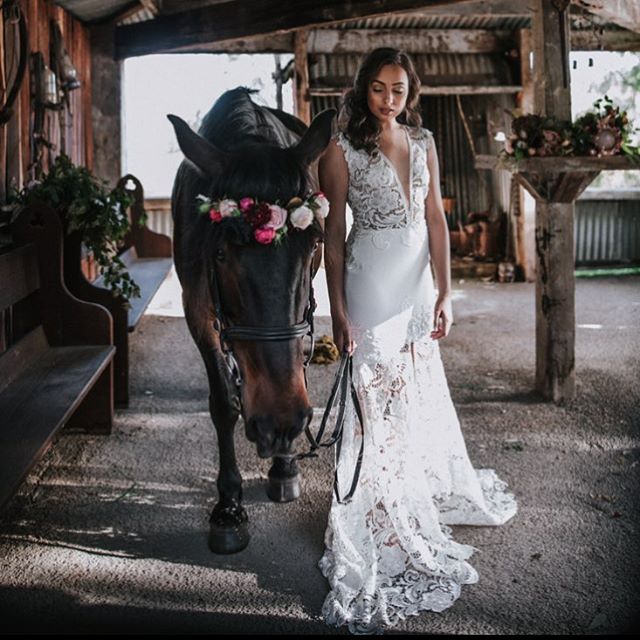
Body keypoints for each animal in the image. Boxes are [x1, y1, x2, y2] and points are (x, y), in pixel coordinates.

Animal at [168, 87, 336, 552]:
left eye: (313, 243)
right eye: (221, 253)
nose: (279, 424)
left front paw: (285, 463)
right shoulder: (196, 309)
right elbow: (224, 402)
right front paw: (228, 505)